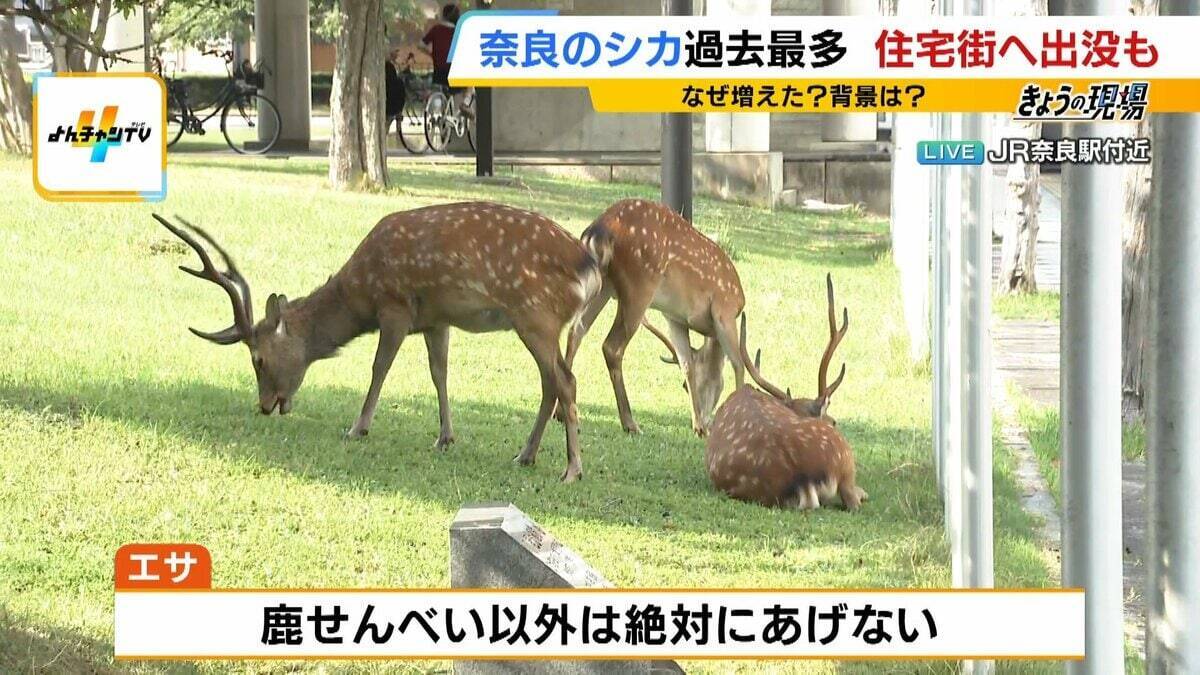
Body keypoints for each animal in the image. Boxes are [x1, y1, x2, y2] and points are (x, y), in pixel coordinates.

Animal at [154, 202, 601, 482]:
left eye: (258, 359)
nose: (265, 405)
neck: (360, 296)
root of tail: (591, 269)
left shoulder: (395, 305)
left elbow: (379, 368)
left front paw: (358, 427)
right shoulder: (436, 318)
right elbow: (439, 372)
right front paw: (445, 437)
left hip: (536, 315)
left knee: (565, 380)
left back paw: (572, 469)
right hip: (539, 323)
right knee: (551, 382)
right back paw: (525, 455)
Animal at [563, 198, 746, 438]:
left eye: (684, 387)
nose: (708, 422)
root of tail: (597, 230)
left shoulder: (675, 318)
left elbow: (687, 363)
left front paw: (698, 425)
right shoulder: (725, 309)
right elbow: (738, 363)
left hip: (603, 284)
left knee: (576, 329)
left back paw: (561, 412)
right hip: (639, 285)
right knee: (611, 346)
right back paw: (630, 423)